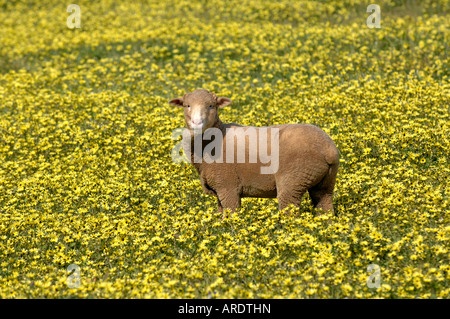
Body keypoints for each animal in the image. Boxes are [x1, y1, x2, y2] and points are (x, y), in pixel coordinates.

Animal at [171, 89, 340, 216]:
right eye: (187, 105)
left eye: (211, 105)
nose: (197, 123)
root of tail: (328, 148)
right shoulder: (219, 188)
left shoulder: (227, 186)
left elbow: (231, 214)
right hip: (324, 182)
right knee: (325, 206)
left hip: (294, 178)